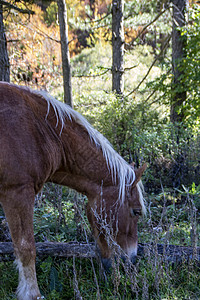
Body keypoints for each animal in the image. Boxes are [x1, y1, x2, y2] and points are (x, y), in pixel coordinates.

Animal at [0, 82, 147, 300]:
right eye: (136, 211)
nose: (132, 260)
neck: (40, 129)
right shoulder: (17, 193)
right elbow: (26, 248)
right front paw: (32, 294)